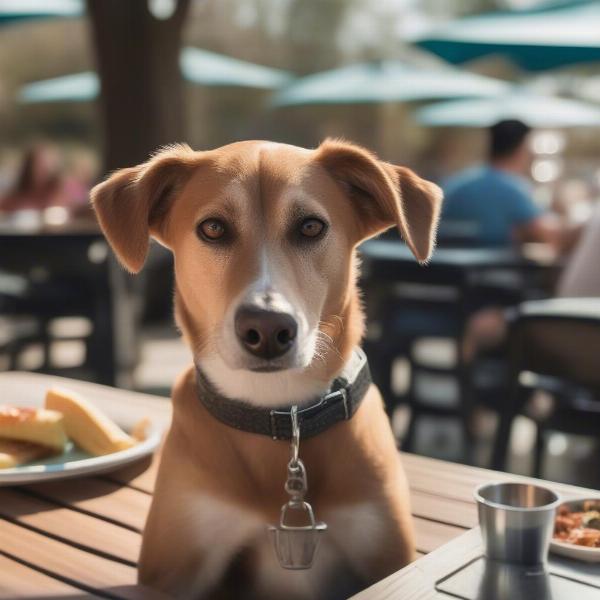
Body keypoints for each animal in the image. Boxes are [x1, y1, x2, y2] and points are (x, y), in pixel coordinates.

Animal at [91, 138, 442, 596]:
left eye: (310, 227)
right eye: (213, 228)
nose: (268, 328)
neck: (279, 410)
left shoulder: (384, 552)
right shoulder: (178, 562)